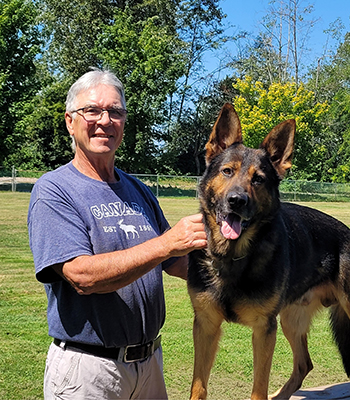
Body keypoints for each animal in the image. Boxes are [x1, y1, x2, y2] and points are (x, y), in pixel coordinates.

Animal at [187, 104, 350, 400]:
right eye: (227, 171)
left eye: (259, 179)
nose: (237, 201)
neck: (234, 257)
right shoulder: (205, 325)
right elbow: (199, 387)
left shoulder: (264, 330)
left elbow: (258, 390)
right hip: (290, 321)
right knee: (304, 364)